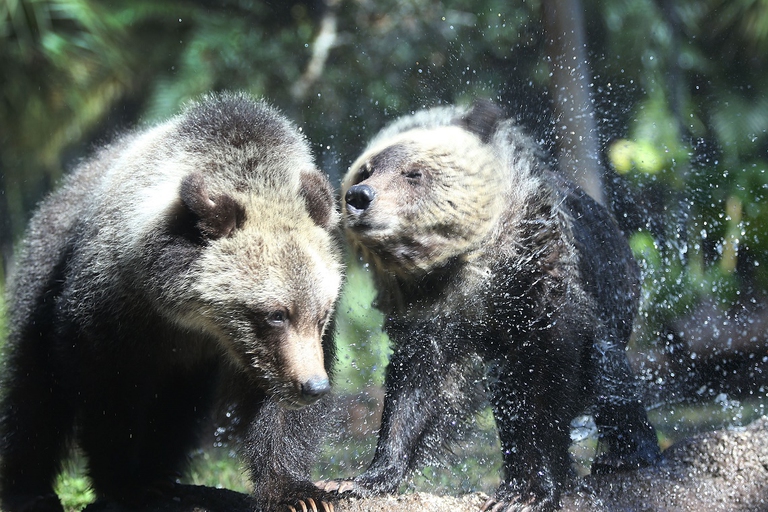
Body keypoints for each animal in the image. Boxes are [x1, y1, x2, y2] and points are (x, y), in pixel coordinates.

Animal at [0, 92, 343, 512]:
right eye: (275, 314)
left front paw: (297, 492)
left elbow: (275, 411)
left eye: (321, 314)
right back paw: (30, 488)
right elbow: (106, 390)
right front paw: (125, 483)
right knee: (35, 388)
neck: (193, 320)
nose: (313, 386)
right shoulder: (112, 305)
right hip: (44, 270)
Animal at [320, 101, 660, 511]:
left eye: (414, 173)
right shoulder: (431, 315)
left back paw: (624, 455)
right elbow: (417, 388)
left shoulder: (541, 287)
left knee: (609, 374)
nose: (359, 196)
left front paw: (529, 491)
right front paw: (359, 478)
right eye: (366, 169)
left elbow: (545, 388)